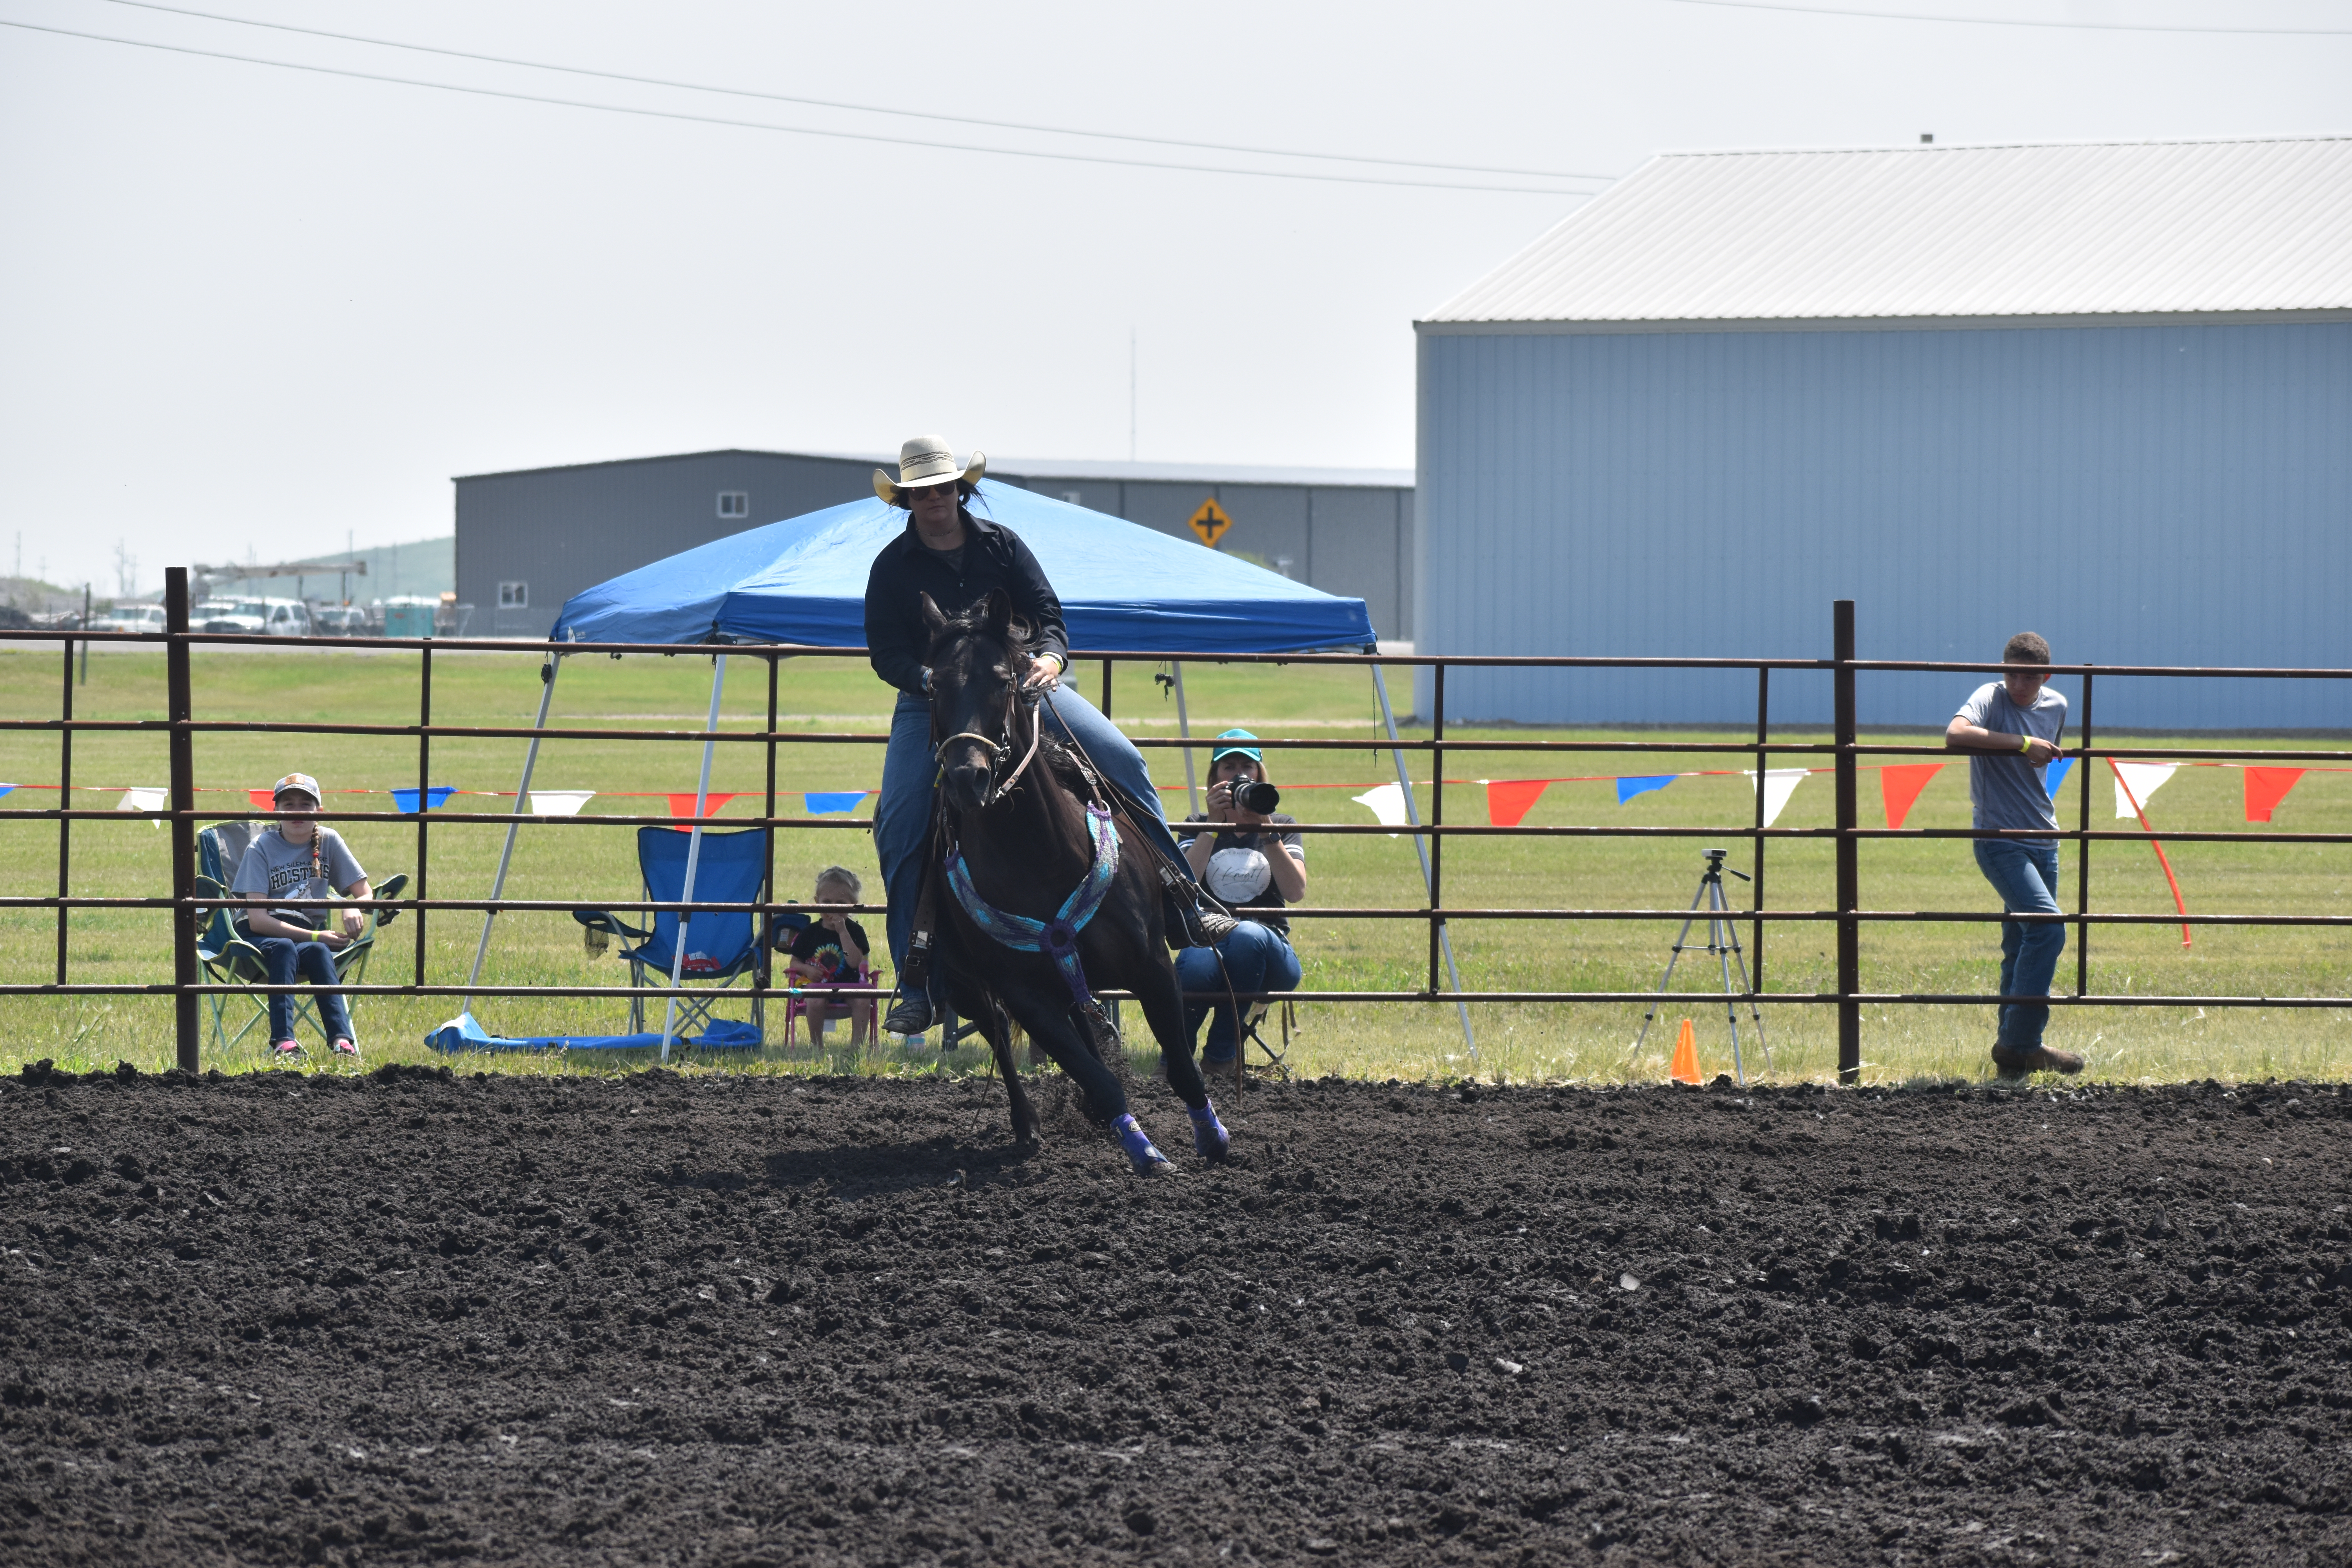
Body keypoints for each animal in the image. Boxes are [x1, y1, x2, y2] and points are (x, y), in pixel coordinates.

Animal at [917, 592, 1232, 1175]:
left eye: (1003, 679)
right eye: (933, 684)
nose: (968, 778)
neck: (1041, 855)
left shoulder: (1152, 965)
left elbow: (1180, 1065)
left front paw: (1213, 1137)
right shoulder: (1027, 996)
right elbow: (1099, 1077)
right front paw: (1145, 1152)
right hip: (966, 983)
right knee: (999, 1034)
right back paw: (1028, 1126)